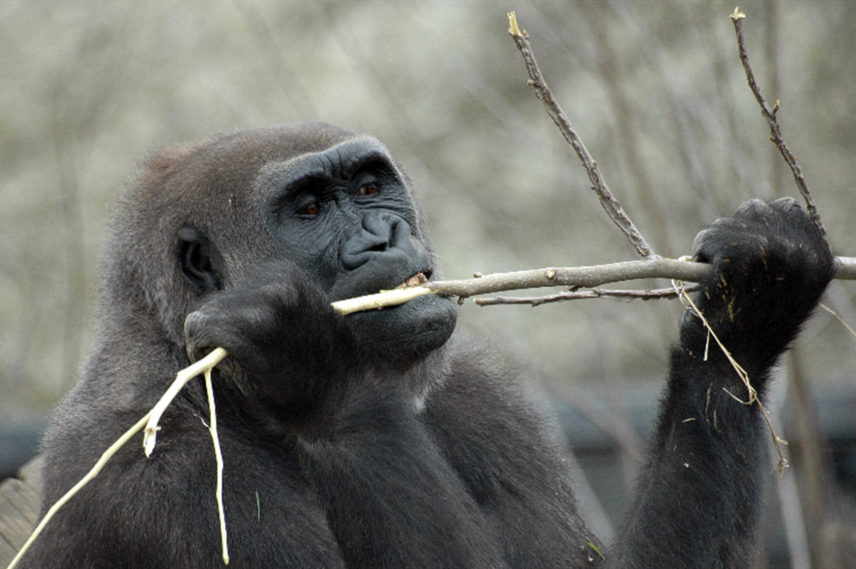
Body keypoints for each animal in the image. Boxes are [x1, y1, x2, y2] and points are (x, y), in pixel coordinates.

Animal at [21, 122, 836, 564]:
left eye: (370, 187)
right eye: (309, 209)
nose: (385, 235)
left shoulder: (486, 402)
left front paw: (744, 315)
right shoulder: (159, 475)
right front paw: (314, 369)